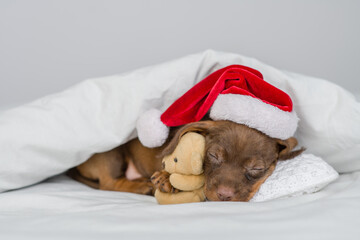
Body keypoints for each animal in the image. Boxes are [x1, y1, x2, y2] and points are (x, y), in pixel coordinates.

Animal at [68, 120, 304, 201]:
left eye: (257, 168)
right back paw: (141, 186)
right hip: (112, 153)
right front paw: (166, 177)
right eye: (213, 156)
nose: (224, 196)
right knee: (109, 183)